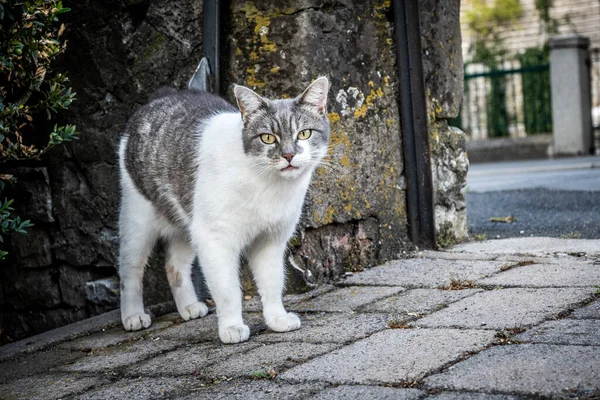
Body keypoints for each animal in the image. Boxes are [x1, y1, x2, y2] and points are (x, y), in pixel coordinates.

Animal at [118, 76, 328, 342]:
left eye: (304, 133)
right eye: (268, 138)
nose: (289, 155)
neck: (268, 186)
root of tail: (163, 95)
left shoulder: (270, 241)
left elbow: (272, 283)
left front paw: (276, 319)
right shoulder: (215, 240)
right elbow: (228, 291)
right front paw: (231, 327)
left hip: (186, 225)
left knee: (174, 266)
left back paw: (189, 307)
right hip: (137, 219)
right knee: (130, 270)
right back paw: (133, 316)